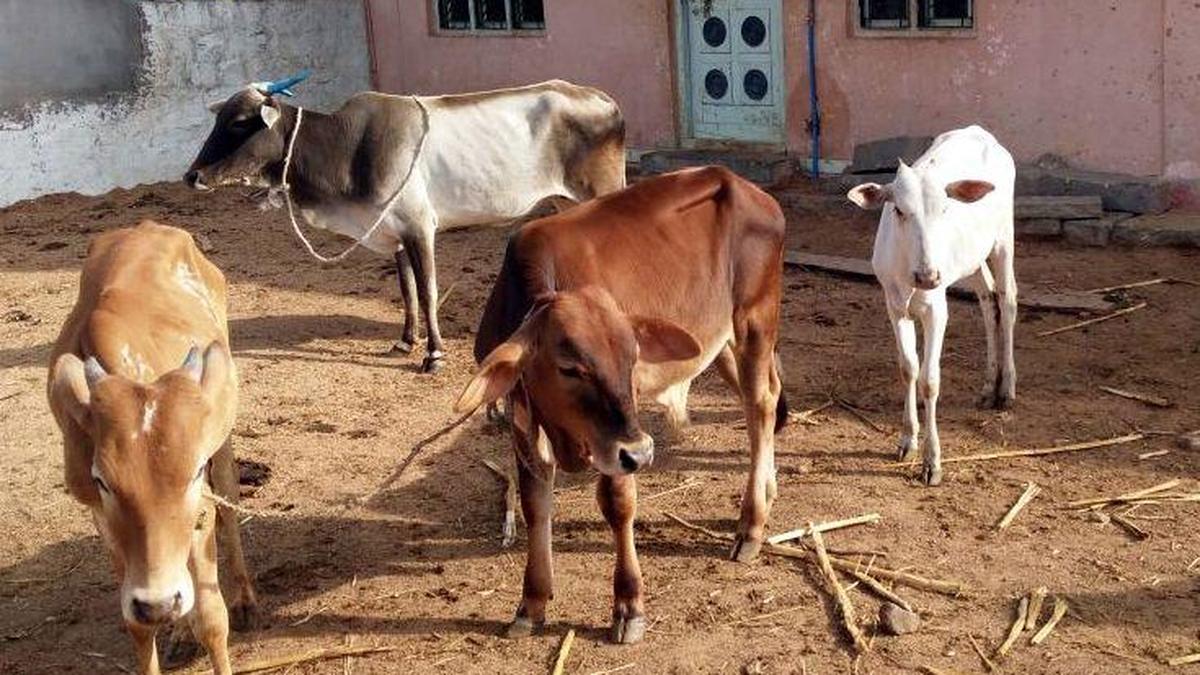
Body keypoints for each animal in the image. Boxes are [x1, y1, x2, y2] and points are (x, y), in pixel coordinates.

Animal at [46, 222, 257, 675]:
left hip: (224, 443)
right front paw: (167, 628)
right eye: (101, 481)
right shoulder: (103, 521)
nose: (159, 603)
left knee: (231, 501)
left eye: (194, 473)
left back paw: (245, 600)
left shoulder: (201, 509)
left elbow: (211, 617)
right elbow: (138, 626)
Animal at [185, 78, 626, 373]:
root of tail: (603, 99)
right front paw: (405, 341)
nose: (193, 176)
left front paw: (434, 353)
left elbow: (428, 293)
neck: (347, 149)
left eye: (240, 122)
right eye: (219, 120)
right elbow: (407, 292)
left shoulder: (419, 228)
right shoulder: (391, 233)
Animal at [454, 167, 788, 644]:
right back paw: (768, 489)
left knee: (759, 407)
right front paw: (531, 602)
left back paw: (751, 524)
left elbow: (617, 503)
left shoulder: (616, 441)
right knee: (763, 397)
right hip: (718, 338)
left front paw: (628, 604)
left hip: (755, 318)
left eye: (633, 358)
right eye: (570, 368)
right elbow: (535, 505)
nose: (643, 452)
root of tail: (747, 188)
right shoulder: (524, 422)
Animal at [846, 125, 1017, 486]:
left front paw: (932, 461)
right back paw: (988, 385)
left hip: (1003, 238)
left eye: (945, 209)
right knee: (988, 300)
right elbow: (908, 367)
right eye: (899, 210)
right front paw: (907, 440)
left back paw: (1007, 387)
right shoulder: (894, 305)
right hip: (971, 258)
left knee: (1007, 299)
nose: (928, 276)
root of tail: (981, 132)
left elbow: (930, 379)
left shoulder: (937, 309)